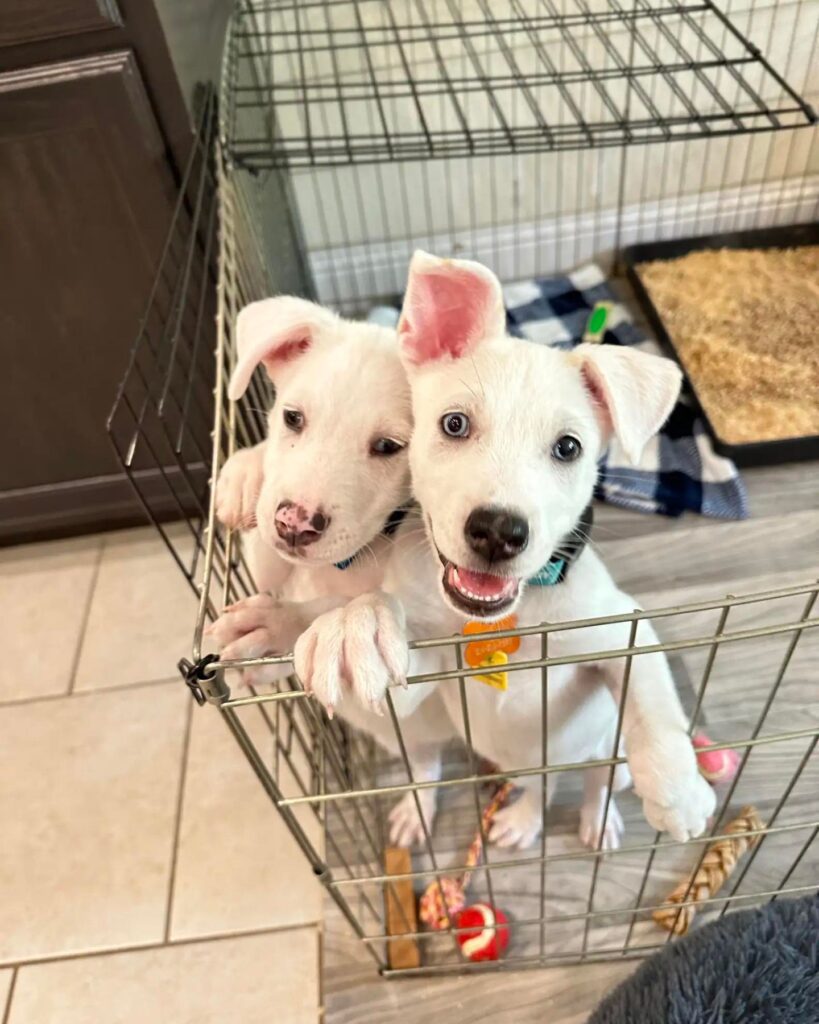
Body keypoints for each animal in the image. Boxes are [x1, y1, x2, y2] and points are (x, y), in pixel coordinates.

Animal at [300, 251, 716, 851]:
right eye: (454, 423)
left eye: (568, 448)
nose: (498, 531)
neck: (503, 620)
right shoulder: (423, 675)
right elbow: (387, 635)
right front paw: (357, 628)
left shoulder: (619, 626)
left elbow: (652, 695)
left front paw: (680, 788)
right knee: (532, 788)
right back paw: (502, 817)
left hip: (596, 745)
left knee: (596, 777)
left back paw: (597, 817)